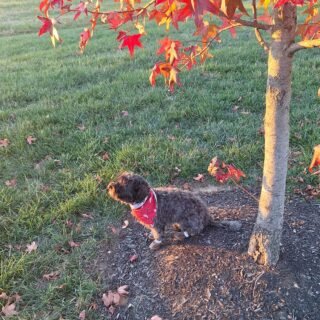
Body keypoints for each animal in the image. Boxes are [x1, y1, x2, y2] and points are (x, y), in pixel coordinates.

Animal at [106, 172, 241, 250]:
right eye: (119, 179)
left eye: (124, 183)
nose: (109, 186)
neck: (144, 201)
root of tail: (207, 217)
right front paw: (151, 235)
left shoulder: (157, 223)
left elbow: (159, 235)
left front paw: (156, 243)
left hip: (187, 220)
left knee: (194, 231)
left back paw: (179, 235)